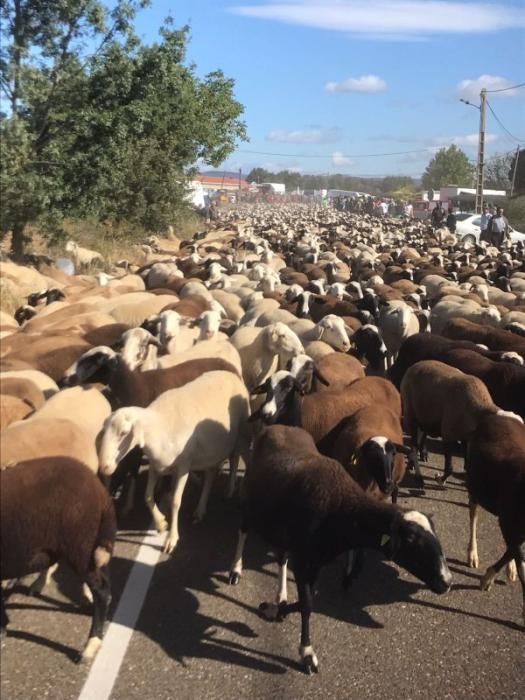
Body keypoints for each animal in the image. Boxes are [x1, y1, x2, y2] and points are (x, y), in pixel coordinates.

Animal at [0, 454, 114, 660]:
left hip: (81, 547)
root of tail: (100, 492)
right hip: (94, 546)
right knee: (105, 583)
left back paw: (91, 645)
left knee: (101, 591)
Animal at [100, 370, 252, 556]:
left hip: (242, 434)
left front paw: (172, 539)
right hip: (212, 449)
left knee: (236, 458)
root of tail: (232, 374)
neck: (158, 426)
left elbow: (175, 501)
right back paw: (200, 510)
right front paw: (161, 523)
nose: (104, 467)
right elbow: (147, 496)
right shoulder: (156, 465)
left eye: (123, 433)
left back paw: (231, 490)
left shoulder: (183, 466)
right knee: (211, 473)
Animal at [229, 424, 450, 676]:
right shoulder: (304, 559)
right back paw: (235, 571)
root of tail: (278, 426)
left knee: (282, 557)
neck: (341, 508)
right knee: (243, 531)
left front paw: (274, 609)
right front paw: (307, 653)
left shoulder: (315, 560)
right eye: (412, 539)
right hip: (250, 501)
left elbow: (308, 600)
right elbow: (307, 604)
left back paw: (280, 595)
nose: (447, 581)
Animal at [464, 412, 520, 620]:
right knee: (473, 517)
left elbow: (513, 550)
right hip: (474, 487)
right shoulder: (507, 519)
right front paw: (487, 579)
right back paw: (472, 554)